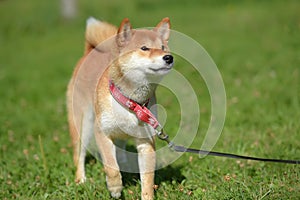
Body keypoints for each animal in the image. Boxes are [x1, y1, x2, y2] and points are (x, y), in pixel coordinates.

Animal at [66, 17, 172, 200]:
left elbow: (148, 180)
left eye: (163, 47)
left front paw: (146, 195)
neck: (131, 102)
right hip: (83, 124)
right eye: (144, 48)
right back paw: (81, 180)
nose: (168, 57)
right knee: (79, 155)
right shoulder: (102, 132)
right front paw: (115, 187)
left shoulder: (146, 142)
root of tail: (89, 52)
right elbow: (111, 166)